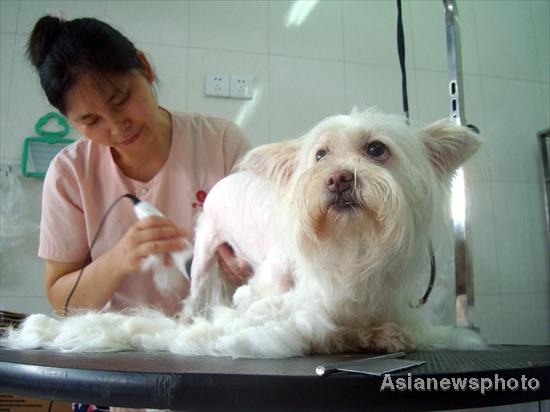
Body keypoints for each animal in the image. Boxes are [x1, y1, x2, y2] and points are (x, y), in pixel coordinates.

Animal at [2, 108, 486, 358]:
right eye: (320, 155)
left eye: (376, 150)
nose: (338, 178)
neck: (346, 245)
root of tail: (224, 181)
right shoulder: (270, 286)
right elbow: (282, 311)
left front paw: (380, 335)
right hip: (205, 253)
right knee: (197, 294)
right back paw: (186, 321)